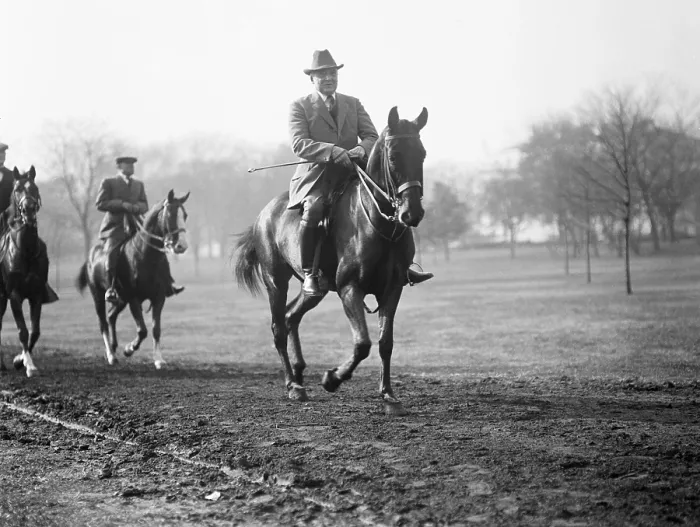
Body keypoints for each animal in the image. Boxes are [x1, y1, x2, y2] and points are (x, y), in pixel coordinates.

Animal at [0, 166, 55, 377]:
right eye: (17, 189)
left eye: (35, 188)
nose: (29, 210)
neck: (26, 250)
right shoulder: (14, 295)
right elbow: (22, 331)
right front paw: (29, 366)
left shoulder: (36, 294)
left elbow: (35, 331)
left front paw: (19, 360)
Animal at [76, 190, 190, 369]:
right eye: (170, 214)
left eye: (185, 215)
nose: (181, 246)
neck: (145, 256)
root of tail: (90, 256)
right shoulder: (133, 299)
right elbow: (142, 330)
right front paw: (129, 349)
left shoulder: (158, 298)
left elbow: (156, 329)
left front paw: (158, 359)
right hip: (98, 295)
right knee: (103, 322)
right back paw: (111, 355)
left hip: (121, 300)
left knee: (111, 316)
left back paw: (113, 348)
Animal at [235, 106, 428, 415]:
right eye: (394, 156)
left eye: (421, 154)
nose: (412, 214)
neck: (377, 223)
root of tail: (262, 215)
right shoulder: (350, 288)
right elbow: (362, 343)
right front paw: (333, 378)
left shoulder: (392, 289)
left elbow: (385, 342)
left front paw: (388, 395)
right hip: (276, 282)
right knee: (278, 327)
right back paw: (293, 385)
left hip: (316, 288)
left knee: (291, 316)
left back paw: (299, 372)